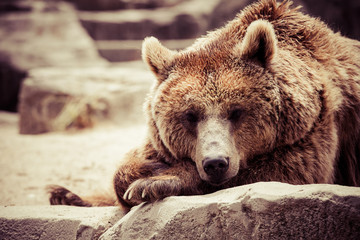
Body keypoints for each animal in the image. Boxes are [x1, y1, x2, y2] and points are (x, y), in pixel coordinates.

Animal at [48, 0, 360, 208]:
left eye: (237, 112)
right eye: (190, 115)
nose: (215, 163)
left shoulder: (315, 128)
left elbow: (282, 171)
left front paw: (151, 184)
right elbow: (124, 170)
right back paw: (64, 195)